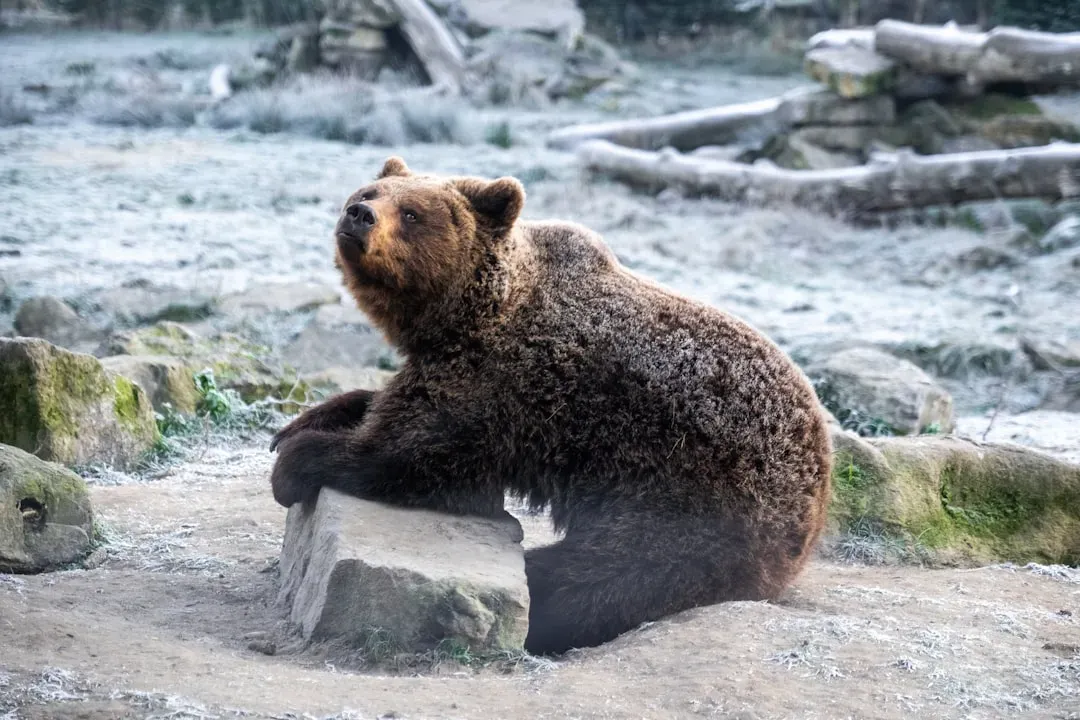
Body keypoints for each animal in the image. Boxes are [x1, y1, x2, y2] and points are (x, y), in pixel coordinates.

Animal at [269, 156, 833, 656]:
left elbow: (412, 452)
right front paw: (307, 420)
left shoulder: (505, 382)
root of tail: (818, 492)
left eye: (412, 213)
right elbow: (384, 405)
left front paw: (297, 462)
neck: (465, 316)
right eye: (369, 191)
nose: (358, 215)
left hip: (688, 497)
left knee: (602, 579)